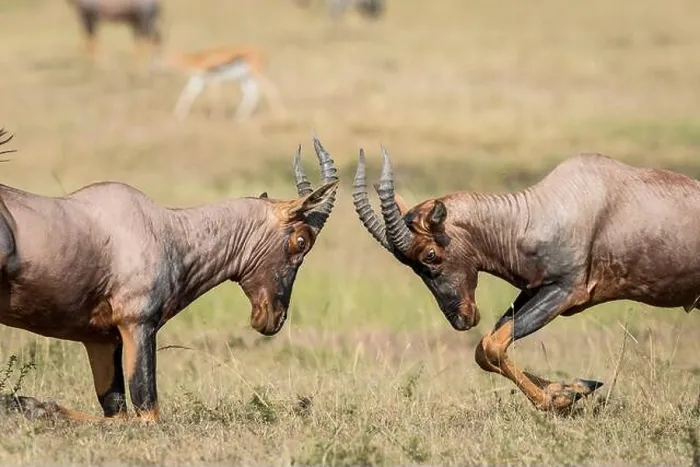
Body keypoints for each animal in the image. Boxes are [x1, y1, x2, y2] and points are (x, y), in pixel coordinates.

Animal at [0, 132, 339, 422]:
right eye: (301, 240)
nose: (273, 318)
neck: (166, 227)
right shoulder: (137, 324)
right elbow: (147, 412)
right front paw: (31, 406)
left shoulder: (100, 339)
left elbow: (116, 412)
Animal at [153, 46, 286, 122]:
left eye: (156, 59)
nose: (152, 70)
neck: (196, 59)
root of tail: (262, 54)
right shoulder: (198, 81)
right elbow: (187, 95)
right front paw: (177, 116)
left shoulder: (212, 81)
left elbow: (216, 100)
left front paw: (215, 120)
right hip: (245, 78)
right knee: (252, 94)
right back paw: (239, 118)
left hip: (255, 75)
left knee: (270, 89)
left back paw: (279, 115)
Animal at [353, 147, 700, 413]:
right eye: (407, 263)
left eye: (430, 254)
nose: (461, 318)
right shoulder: (532, 290)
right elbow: (485, 347)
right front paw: (574, 389)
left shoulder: (566, 291)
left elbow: (493, 345)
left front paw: (562, 399)